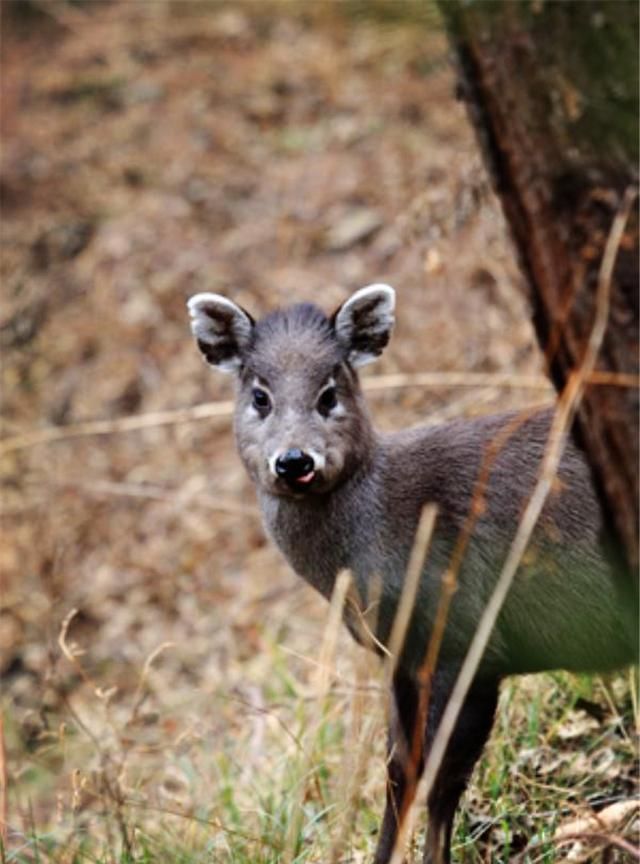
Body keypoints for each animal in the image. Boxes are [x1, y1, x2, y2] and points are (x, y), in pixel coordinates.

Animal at [185, 286, 636, 864]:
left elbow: (441, 776)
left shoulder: (464, 639)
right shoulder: (400, 655)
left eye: (329, 391)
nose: (294, 461)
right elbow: (398, 771)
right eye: (259, 395)